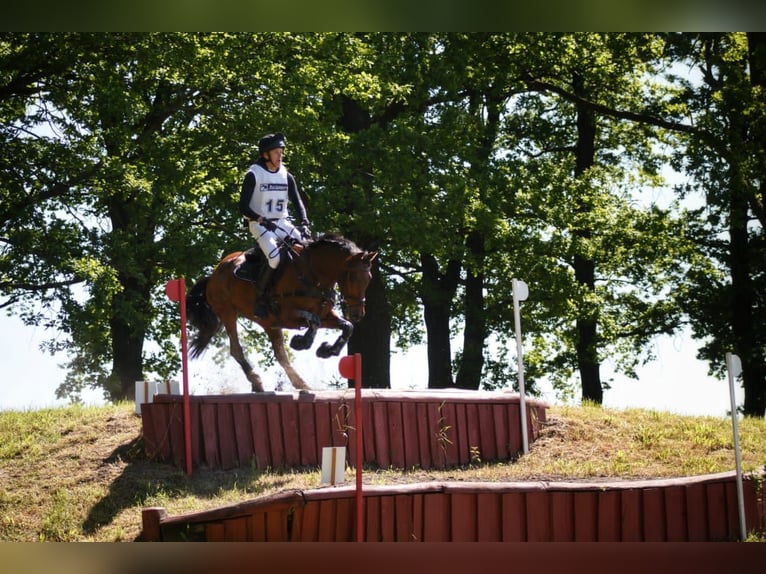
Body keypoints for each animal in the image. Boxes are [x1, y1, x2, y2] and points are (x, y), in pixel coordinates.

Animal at [186, 233, 378, 392]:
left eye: (369, 278)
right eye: (352, 277)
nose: (357, 314)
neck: (314, 275)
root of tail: (214, 274)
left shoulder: (325, 315)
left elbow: (347, 326)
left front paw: (328, 350)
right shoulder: (287, 315)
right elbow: (314, 321)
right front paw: (301, 342)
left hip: (268, 323)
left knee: (280, 355)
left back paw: (300, 384)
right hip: (227, 312)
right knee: (236, 349)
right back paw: (257, 382)